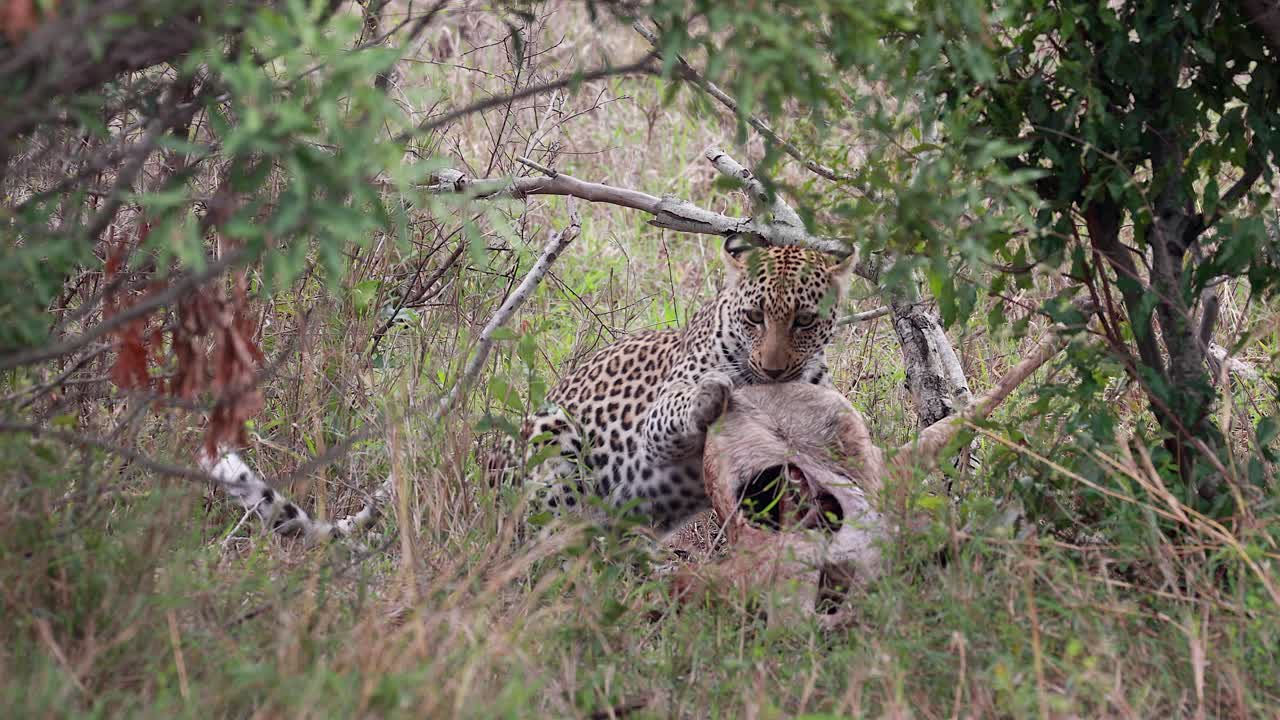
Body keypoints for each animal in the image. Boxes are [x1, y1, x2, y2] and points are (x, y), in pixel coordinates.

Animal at [516, 234, 856, 532]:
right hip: (552, 437)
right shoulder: (655, 425)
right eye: (755, 316)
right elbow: (679, 404)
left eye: (805, 321)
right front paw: (710, 393)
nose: (773, 371)